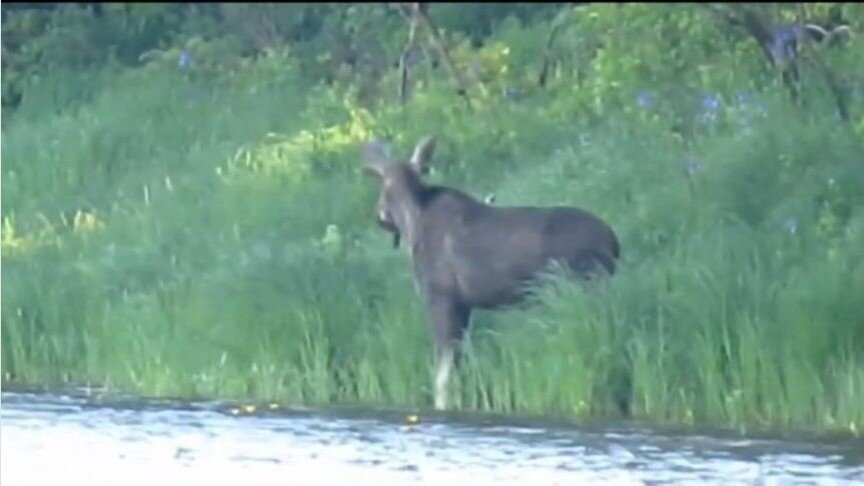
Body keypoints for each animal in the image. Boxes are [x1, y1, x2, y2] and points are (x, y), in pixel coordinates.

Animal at [362, 134, 616, 410]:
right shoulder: (464, 306)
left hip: (581, 287)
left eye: (382, 188)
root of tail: (615, 243)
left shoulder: (441, 299)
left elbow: (442, 376)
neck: (412, 222)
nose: (379, 216)